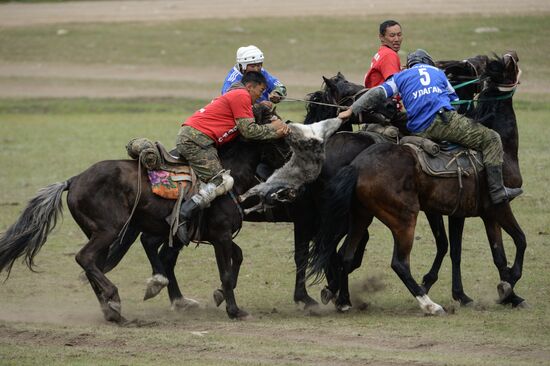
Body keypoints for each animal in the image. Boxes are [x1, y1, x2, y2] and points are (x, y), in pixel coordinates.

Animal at [308, 54, 528, 314]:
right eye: (349, 91)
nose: (512, 55)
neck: (502, 146)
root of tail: (356, 166)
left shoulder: (477, 213)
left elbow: (490, 253)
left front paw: (504, 293)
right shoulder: (496, 206)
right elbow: (514, 241)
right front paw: (501, 289)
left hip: (360, 216)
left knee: (343, 254)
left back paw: (341, 298)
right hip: (402, 218)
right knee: (394, 262)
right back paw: (428, 304)